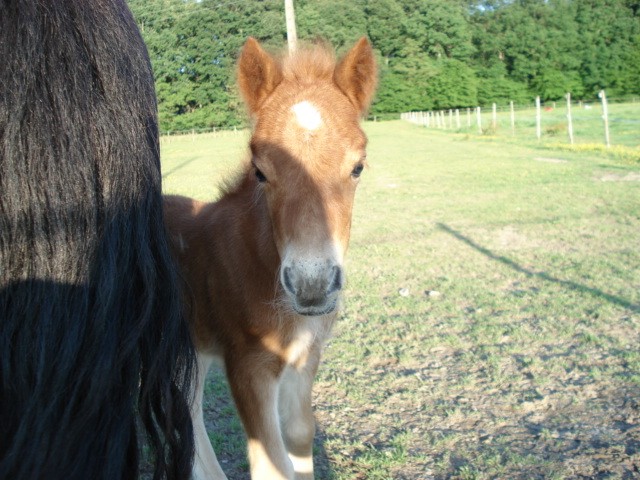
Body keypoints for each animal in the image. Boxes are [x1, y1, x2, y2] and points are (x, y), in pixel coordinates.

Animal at [162, 37, 378, 480]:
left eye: (358, 167)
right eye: (260, 172)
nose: (312, 286)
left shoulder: (306, 355)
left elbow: (299, 435)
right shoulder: (248, 364)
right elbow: (271, 463)